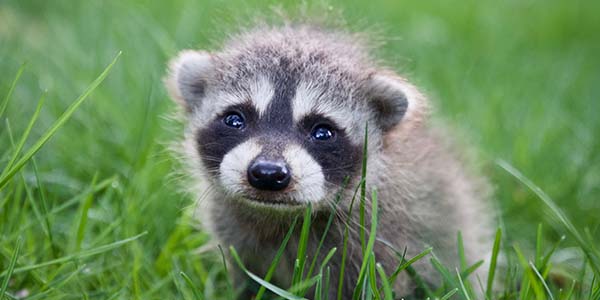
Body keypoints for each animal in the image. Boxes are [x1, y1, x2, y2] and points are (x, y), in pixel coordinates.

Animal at [165, 24, 492, 298]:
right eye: (235, 120)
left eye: (322, 132)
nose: (268, 173)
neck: (279, 216)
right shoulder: (236, 235)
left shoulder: (386, 236)